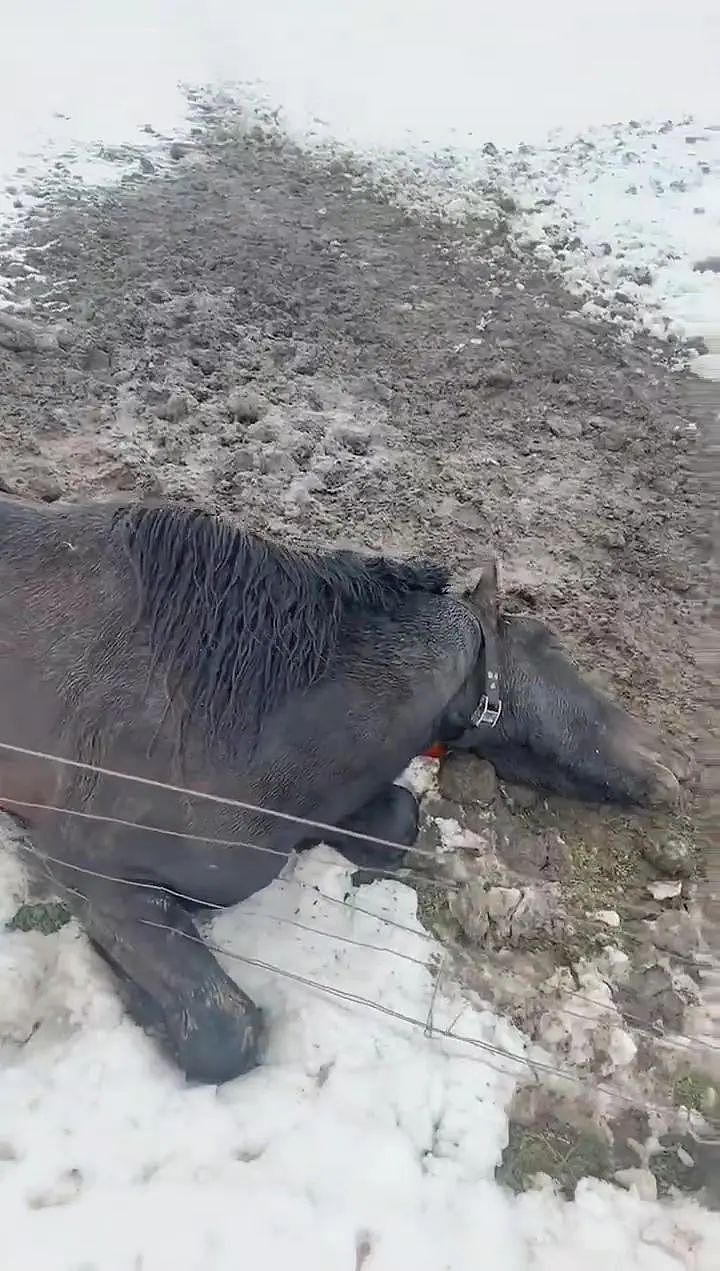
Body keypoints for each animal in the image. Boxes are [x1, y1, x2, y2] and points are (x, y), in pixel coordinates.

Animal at [0, 495, 684, 1084]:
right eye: (547, 641)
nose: (669, 764)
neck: (233, 707)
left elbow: (399, 820)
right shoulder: (89, 867)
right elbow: (226, 1032)